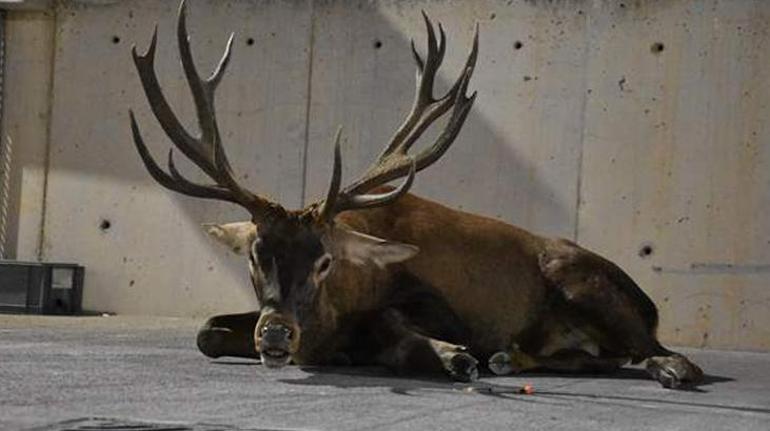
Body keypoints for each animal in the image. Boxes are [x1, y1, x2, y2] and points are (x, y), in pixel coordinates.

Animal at [127, 0, 704, 390]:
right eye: (253, 254)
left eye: (325, 261)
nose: (275, 336)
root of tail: (651, 305)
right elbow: (205, 331)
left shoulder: (440, 303)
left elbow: (394, 325)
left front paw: (450, 354)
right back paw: (513, 359)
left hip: (582, 281)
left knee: (669, 355)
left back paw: (659, 366)